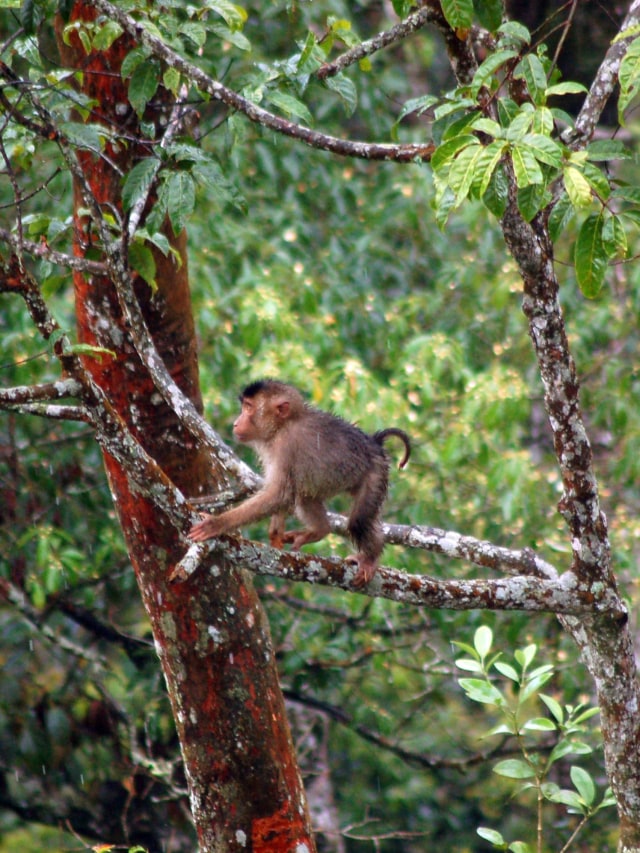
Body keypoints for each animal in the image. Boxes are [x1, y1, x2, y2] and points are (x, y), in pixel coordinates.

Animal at [188, 380, 412, 584]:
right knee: (305, 497)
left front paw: (217, 524)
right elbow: (282, 494)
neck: (283, 425)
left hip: (376, 473)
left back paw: (370, 558)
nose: (236, 422)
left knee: (358, 520)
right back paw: (320, 530)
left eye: (249, 408)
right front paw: (276, 530)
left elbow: (280, 493)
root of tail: (373, 443)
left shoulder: (285, 445)